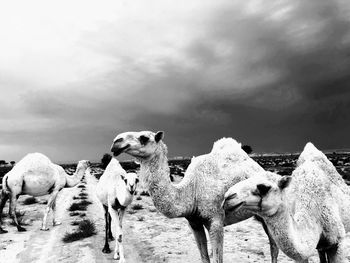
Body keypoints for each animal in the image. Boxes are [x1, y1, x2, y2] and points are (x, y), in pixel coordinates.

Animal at [110, 131, 278, 262]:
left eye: (144, 137)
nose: (115, 143)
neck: (191, 190)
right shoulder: (194, 222)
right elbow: (204, 258)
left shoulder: (216, 220)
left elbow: (217, 259)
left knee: (274, 247)